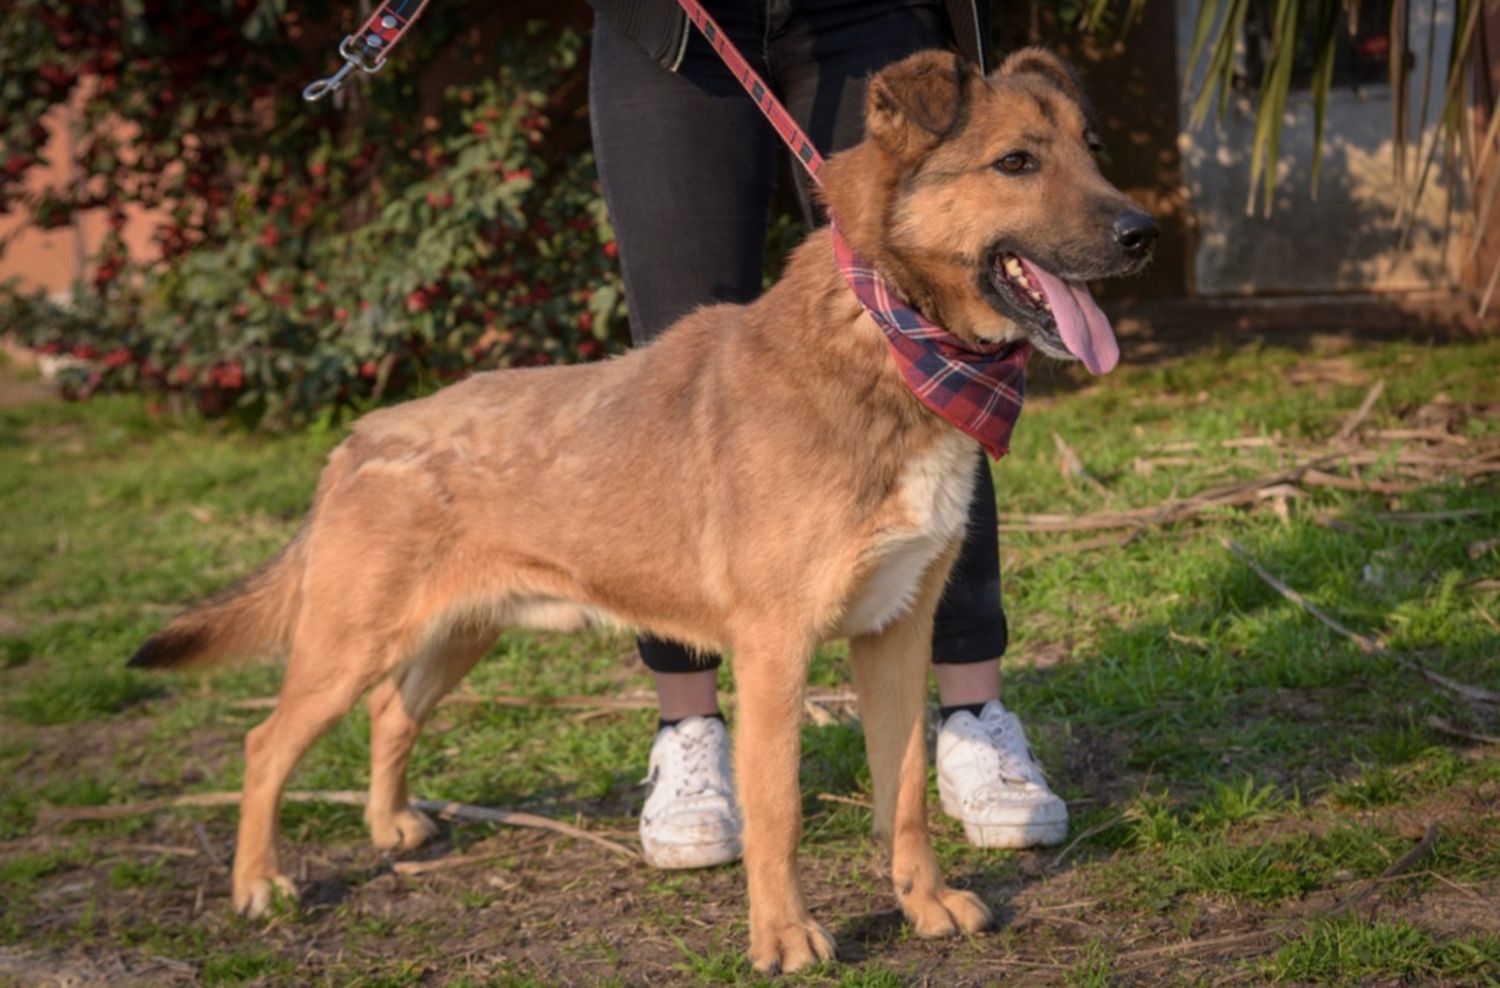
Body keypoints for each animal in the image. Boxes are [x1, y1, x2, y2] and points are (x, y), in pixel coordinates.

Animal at [132, 46, 1158, 971]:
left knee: (392, 714)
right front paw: (783, 939)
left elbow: (903, 789)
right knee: (266, 744)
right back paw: (259, 885)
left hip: (456, 632)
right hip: (349, 647)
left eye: (1092, 149)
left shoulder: (897, 633)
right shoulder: (775, 650)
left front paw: (925, 903)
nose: (1143, 232)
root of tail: (359, 438)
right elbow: (779, 811)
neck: (890, 337)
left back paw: (391, 827)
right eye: (1015, 162)